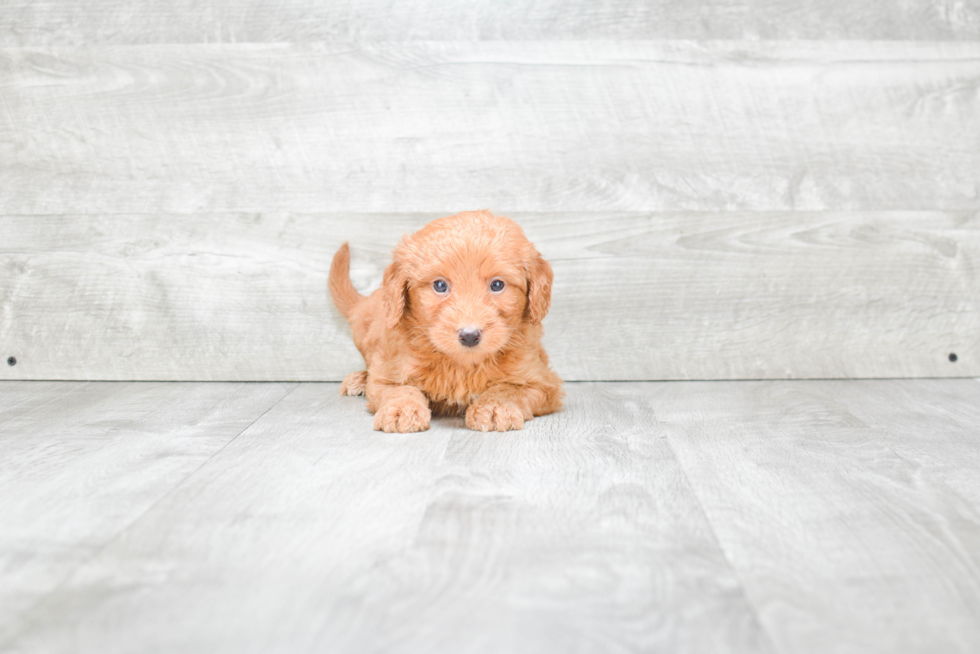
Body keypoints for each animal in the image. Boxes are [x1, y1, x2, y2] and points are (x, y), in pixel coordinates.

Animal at [328, 211, 560, 436]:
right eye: (440, 285)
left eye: (497, 285)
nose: (469, 335)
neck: (460, 364)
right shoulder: (386, 375)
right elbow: (398, 389)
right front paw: (403, 409)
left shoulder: (544, 382)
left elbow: (509, 388)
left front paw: (494, 406)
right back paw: (359, 379)